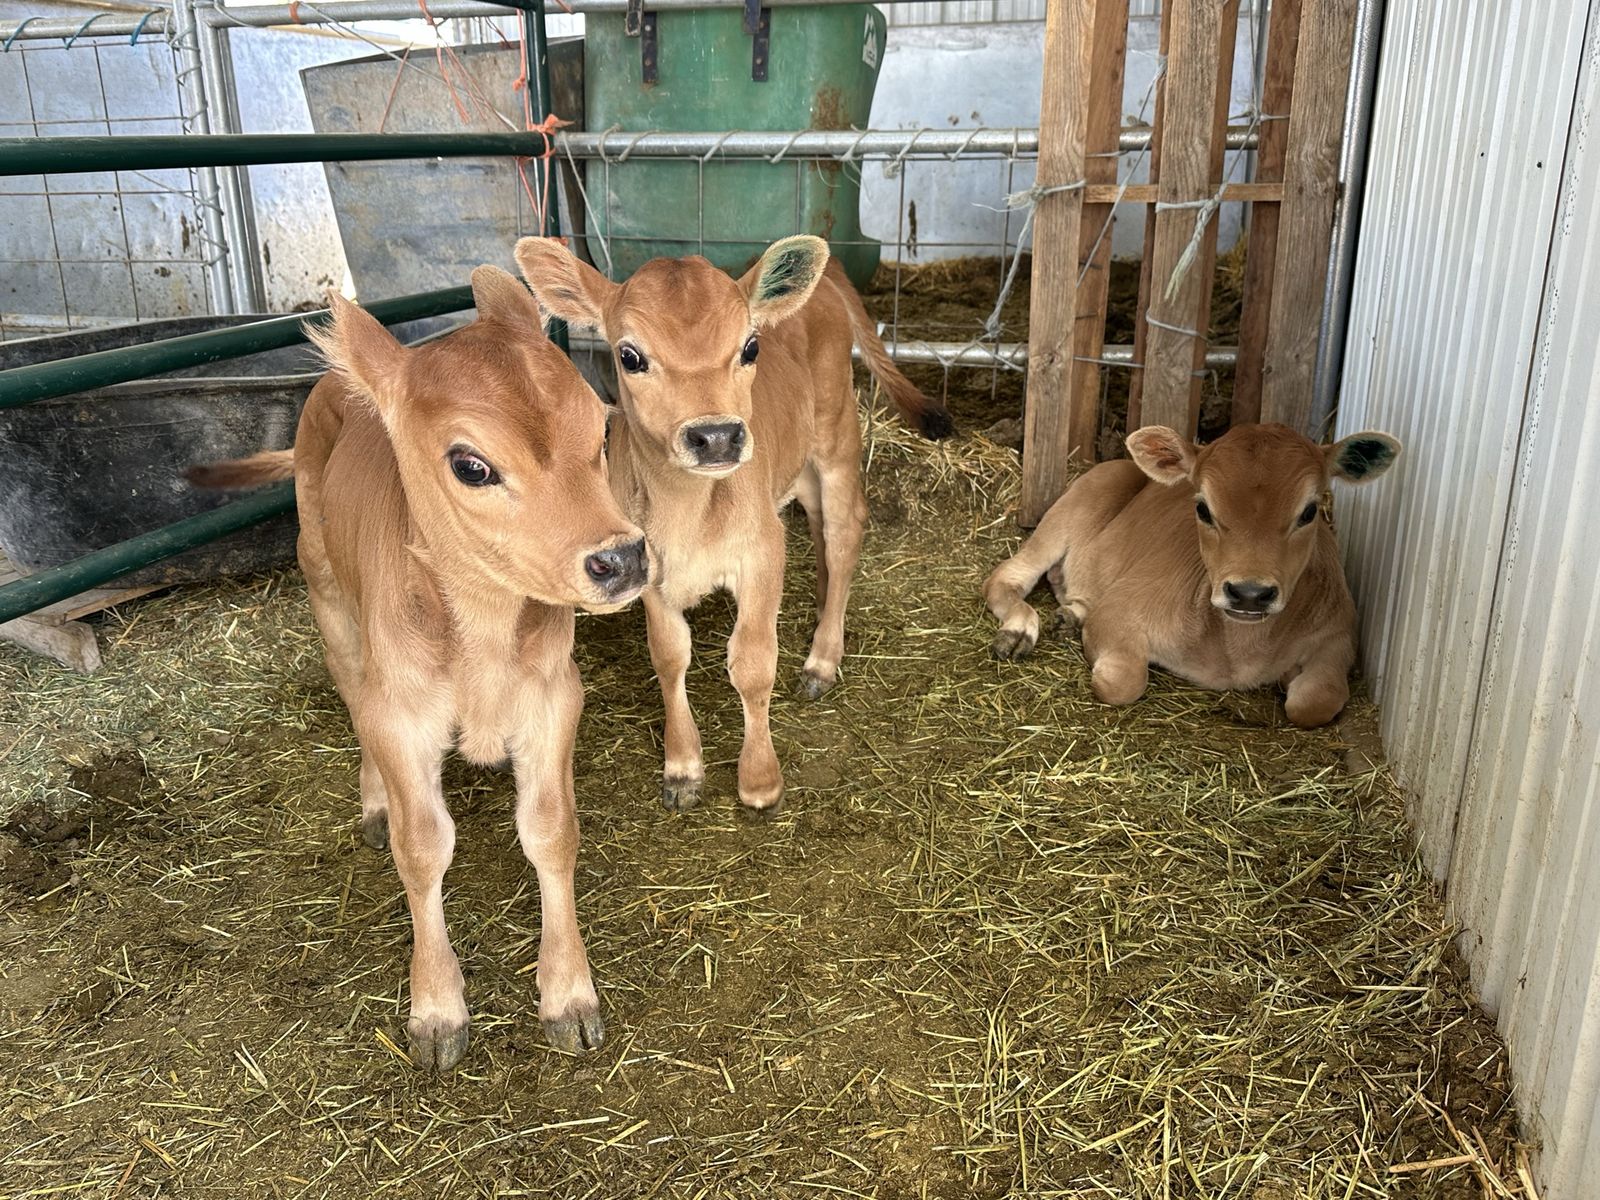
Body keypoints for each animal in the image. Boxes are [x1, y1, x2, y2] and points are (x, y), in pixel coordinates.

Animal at [187, 267, 648, 1070]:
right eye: (471, 465)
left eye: (601, 429)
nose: (622, 557)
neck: (483, 638)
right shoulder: (401, 717)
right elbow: (423, 846)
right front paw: (436, 1009)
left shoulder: (554, 699)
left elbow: (552, 831)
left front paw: (568, 994)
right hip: (329, 600)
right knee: (351, 695)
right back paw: (373, 801)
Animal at [513, 235, 951, 813]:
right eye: (630, 356)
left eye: (750, 348)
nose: (717, 435)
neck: (689, 514)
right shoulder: (647, 570)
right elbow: (670, 659)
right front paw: (682, 768)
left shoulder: (761, 553)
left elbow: (752, 662)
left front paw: (761, 779)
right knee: (816, 524)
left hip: (837, 431)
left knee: (844, 532)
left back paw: (822, 657)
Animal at [982, 422, 1401, 728]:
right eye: (1202, 508)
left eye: (1310, 511)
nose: (1249, 593)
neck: (1235, 653)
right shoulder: (1120, 611)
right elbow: (1121, 681)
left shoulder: (1340, 635)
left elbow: (1316, 702)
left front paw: (1289, 679)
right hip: (1074, 506)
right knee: (1007, 576)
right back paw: (1019, 631)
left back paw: (1069, 616)